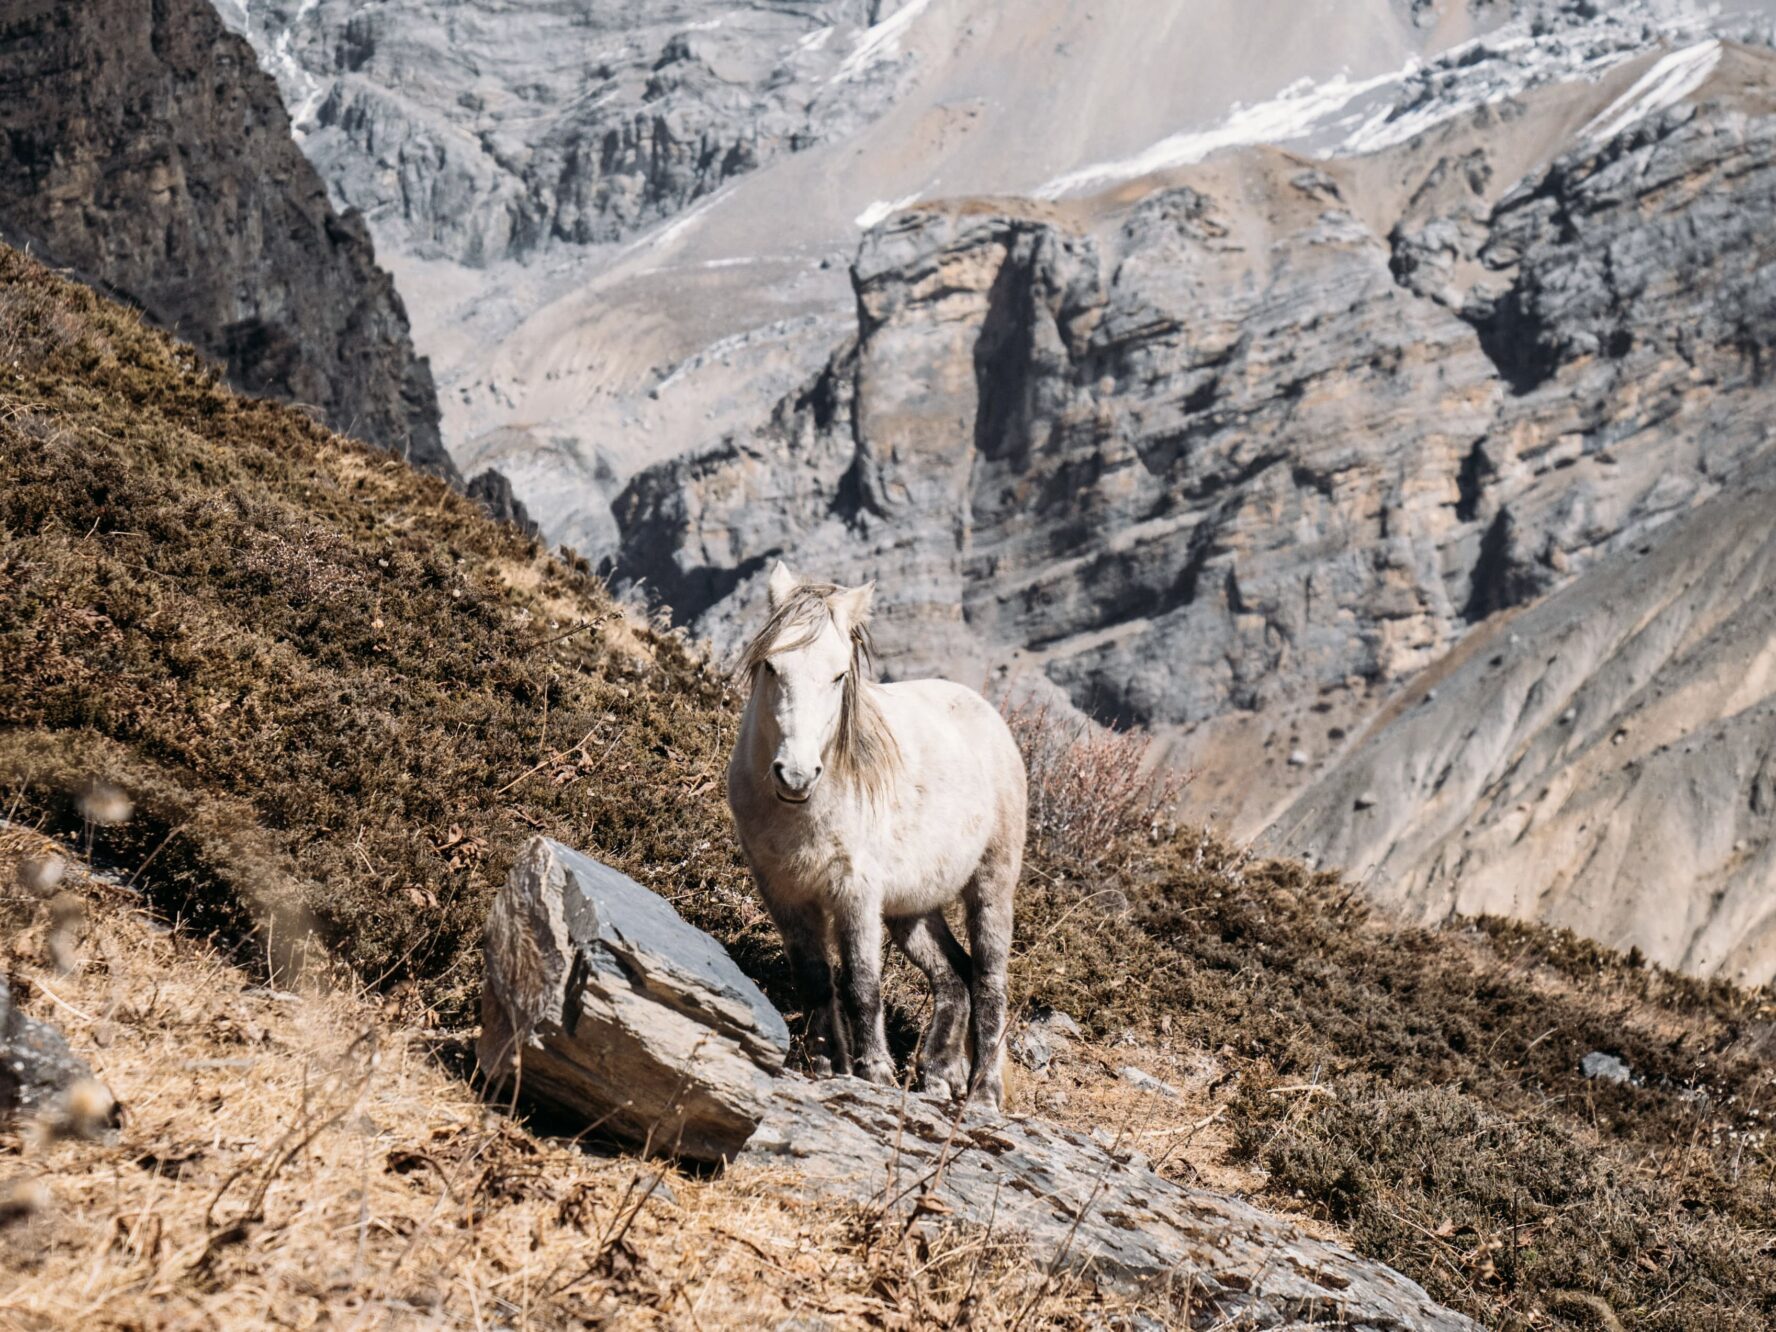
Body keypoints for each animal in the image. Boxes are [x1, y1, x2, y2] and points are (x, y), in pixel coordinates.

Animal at [727, 562, 1027, 1110]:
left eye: (838, 674)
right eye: (772, 667)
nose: (796, 776)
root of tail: (987, 713)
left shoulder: (856, 892)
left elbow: (862, 983)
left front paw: (874, 1072)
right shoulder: (784, 895)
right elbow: (815, 979)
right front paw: (828, 1063)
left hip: (992, 885)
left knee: (989, 980)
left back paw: (982, 1092)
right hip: (912, 907)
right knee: (953, 975)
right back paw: (938, 1074)